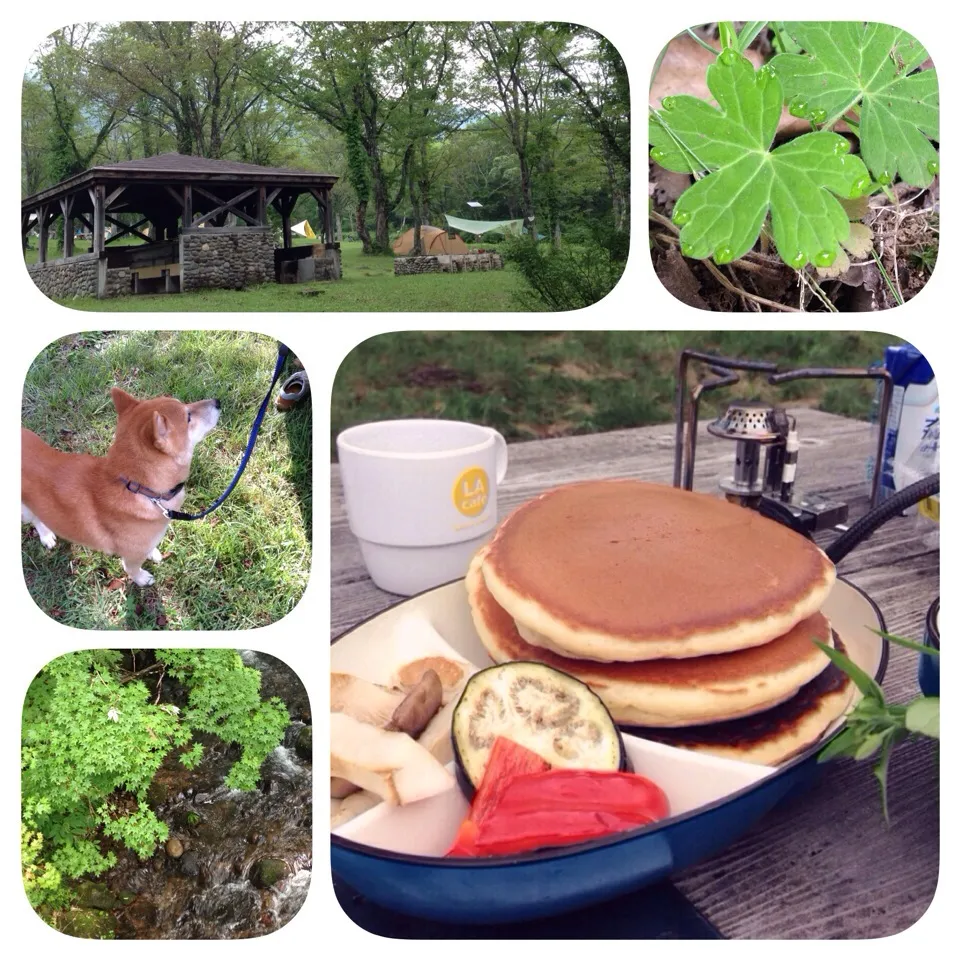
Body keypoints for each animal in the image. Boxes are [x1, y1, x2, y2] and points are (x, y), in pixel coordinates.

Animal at [21, 388, 220, 584]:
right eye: (188, 417)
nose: (217, 401)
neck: (139, 488)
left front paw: (152, 553)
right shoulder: (132, 557)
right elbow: (132, 570)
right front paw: (142, 579)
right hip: (26, 509)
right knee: (35, 519)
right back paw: (46, 535)